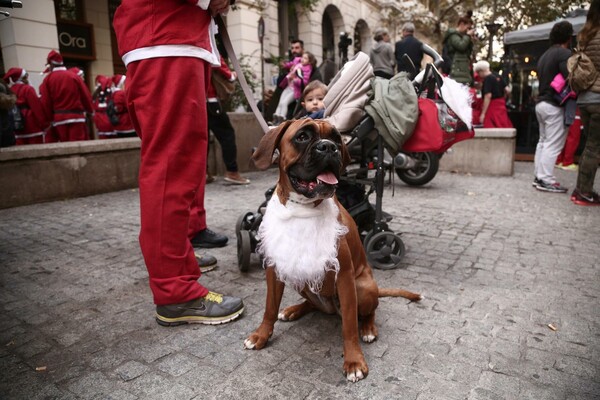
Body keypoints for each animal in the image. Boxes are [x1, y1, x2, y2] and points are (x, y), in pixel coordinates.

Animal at [244, 118, 422, 382]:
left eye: (337, 138)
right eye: (302, 136)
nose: (328, 147)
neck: (302, 209)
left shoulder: (345, 276)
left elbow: (349, 326)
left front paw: (354, 361)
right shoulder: (275, 268)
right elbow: (269, 307)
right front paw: (261, 335)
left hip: (363, 287)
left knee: (368, 312)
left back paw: (368, 329)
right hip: (302, 279)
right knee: (314, 304)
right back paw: (293, 310)